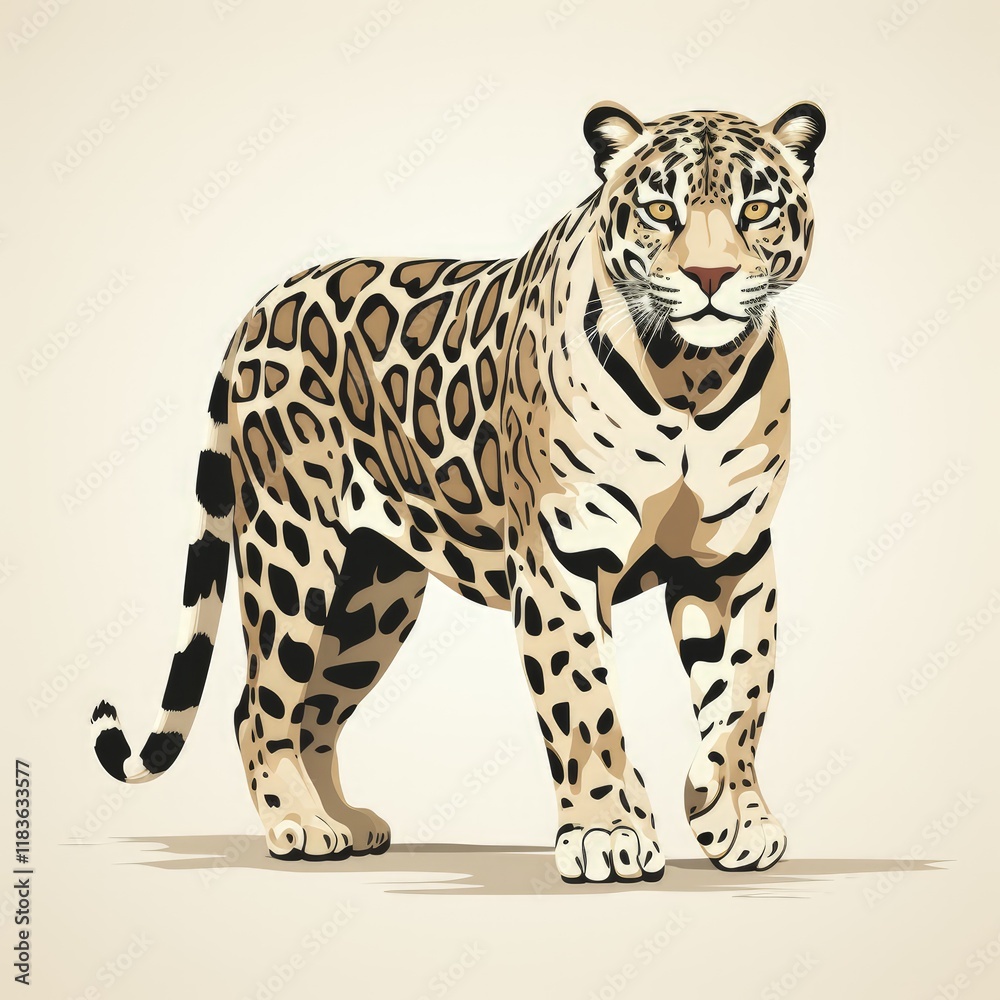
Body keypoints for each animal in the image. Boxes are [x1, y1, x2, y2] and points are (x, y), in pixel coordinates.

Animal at [92, 99, 826, 883]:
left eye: (757, 209)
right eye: (661, 209)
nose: (710, 275)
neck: (690, 377)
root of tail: (258, 307)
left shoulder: (731, 557)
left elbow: (741, 695)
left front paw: (729, 813)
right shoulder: (559, 559)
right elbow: (584, 699)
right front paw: (607, 832)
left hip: (371, 594)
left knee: (316, 708)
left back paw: (346, 820)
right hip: (292, 549)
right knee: (259, 706)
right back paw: (300, 824)